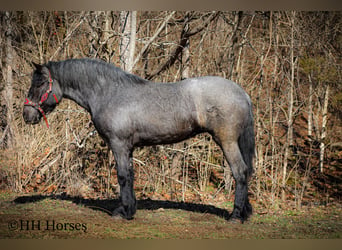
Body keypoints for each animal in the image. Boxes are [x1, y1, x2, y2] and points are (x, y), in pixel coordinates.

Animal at [23, 58, 254, 223]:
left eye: (40, 83)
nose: (27, 115)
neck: (109, 93)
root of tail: (241, 93)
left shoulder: (119, 145)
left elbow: (122, 176)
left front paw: (122, 212)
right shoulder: (128, 148)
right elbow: (130, 176)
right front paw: (129, 209)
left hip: (227, 141)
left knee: (240, 172)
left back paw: (235, 216)